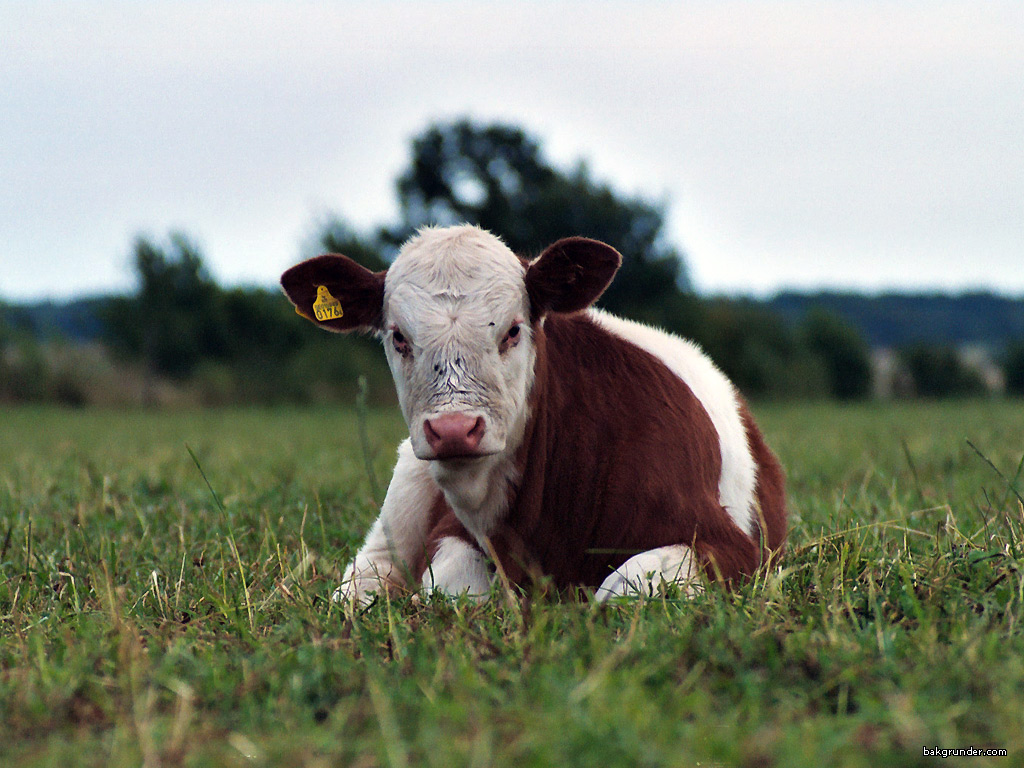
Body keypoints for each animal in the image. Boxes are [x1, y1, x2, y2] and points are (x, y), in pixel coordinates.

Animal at [280, 225, 786, 604]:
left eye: (513, 330)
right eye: (398, 336)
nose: (453, 430)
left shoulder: (731, 548)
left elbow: (626, 586)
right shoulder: (455, 535)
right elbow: (452, 586)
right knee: (364, 577)